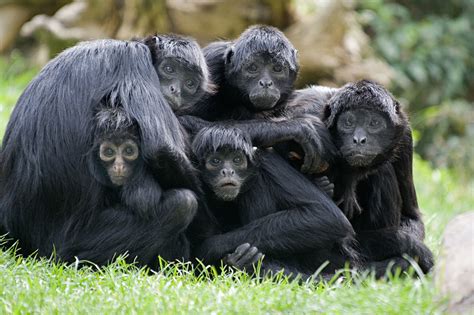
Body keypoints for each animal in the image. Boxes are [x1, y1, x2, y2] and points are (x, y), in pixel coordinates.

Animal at [0, 39, 211, 266]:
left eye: (189, 83)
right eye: (169, 69)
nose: (175, 90)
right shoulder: (133, 61)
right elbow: (161, 149)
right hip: (74, 244)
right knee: (183, 204)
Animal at [286, 80, 434, 278]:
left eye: (374, 123)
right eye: (348, 122)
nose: (359, 139)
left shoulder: (405, 136)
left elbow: (412, 215)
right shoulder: (309, 118)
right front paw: (408, 246)